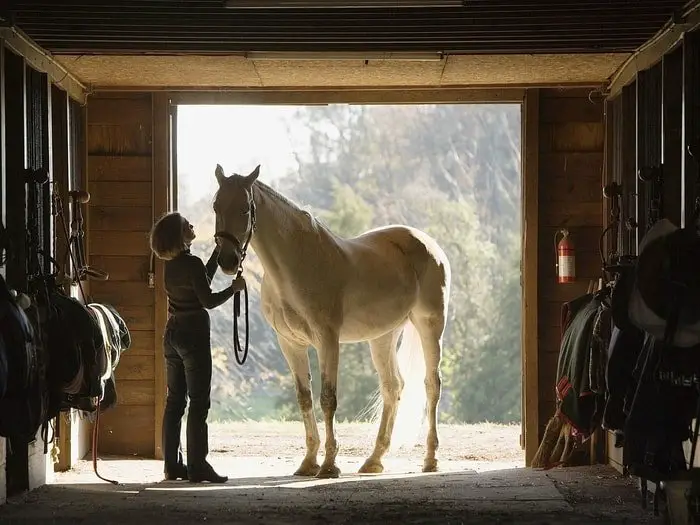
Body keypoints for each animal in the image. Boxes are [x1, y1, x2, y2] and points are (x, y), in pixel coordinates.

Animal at [211, 165, 452, 478]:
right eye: (216, 206)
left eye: (244, 209)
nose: (227, 262)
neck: (296, 265)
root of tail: (428, 244)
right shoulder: (290, 344)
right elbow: (304, 397)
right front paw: (308, 462)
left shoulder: (327, 340)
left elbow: (328, 398)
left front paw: (328, 465)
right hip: (383, 336)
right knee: (392, 387)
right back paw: (374, 460)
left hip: (430, 325)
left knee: (431, 385)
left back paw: (430, 459)